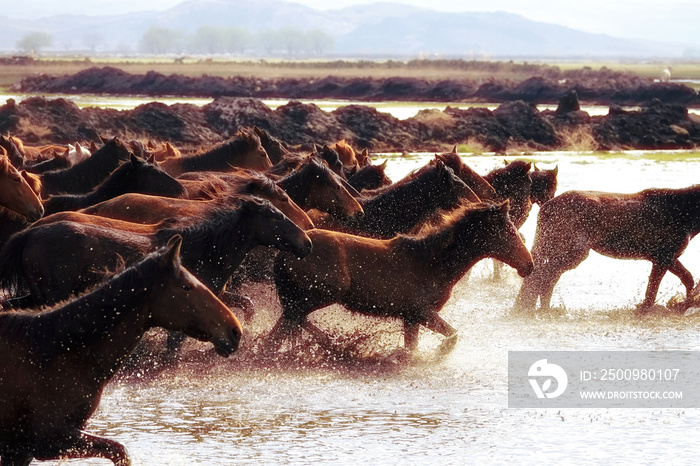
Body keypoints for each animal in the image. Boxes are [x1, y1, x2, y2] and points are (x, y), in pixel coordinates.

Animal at [270, 200, 532, 350]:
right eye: (508, 231)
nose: (528, 265)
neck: (434, 263)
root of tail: (283, 255)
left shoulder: (411, 319)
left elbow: (412, 348)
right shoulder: (421, 313)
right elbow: (452, 335)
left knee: (282, 330)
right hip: (318, 296)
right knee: (291, 323)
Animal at [516, 186, 700, 314]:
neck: (688, 213)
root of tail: (546, 207)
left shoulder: (664, 257)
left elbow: (684, 279)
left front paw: (685, 302)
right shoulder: (664, 257)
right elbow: (656, 288)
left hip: (556, 249)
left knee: (541, 278)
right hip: (572, 252)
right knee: (543, 277)